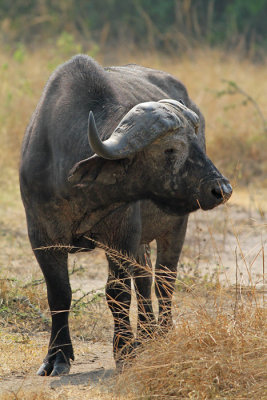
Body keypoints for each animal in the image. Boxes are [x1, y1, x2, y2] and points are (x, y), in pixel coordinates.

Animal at [19, 54, 232, 376]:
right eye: (171, 149)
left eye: (198, 143)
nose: (221, 189)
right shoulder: (42, 237)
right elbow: (59, 294)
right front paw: (56, 356)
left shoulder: (120, 237)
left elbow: (116, 293)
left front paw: (124, 351)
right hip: (141, 240)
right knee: (144, 279)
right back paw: (146, 334)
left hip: (175, 227)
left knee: (164, 280)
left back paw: (160, 333)